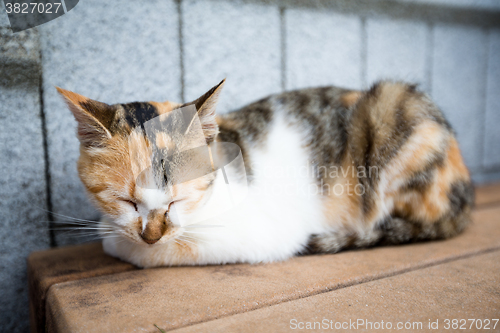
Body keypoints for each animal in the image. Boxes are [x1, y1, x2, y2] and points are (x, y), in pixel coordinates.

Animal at [56, 78, 474, 268]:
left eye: (178, 200)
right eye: (125, 200)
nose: (150, 235)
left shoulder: (263, 231)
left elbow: (166, 249)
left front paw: (125, 244)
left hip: (395, 107)